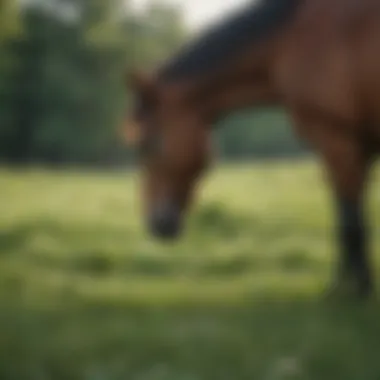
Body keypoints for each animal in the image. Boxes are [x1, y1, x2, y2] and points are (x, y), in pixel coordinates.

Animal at [122, 0, 380, 296]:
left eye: (148, 144)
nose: (156, 225)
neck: (291, 41)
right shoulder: (355, 152)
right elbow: (351, 218)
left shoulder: (338, 145)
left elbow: (349, 222)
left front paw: (351, 290)